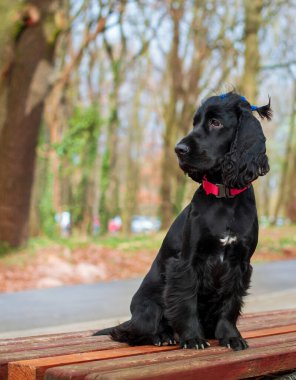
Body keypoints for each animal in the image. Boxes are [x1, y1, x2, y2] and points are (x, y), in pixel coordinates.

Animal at [95, 91, 272, 350]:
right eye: (195, 123)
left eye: (215, 122)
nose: (179, 149)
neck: (225, 198)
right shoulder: (187, 262)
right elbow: (186, 301)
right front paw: (192, 338)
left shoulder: (240, 264)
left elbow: (230, 303)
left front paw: (231, 336)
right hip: (148, 308)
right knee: (131, 331)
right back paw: (162, 335)